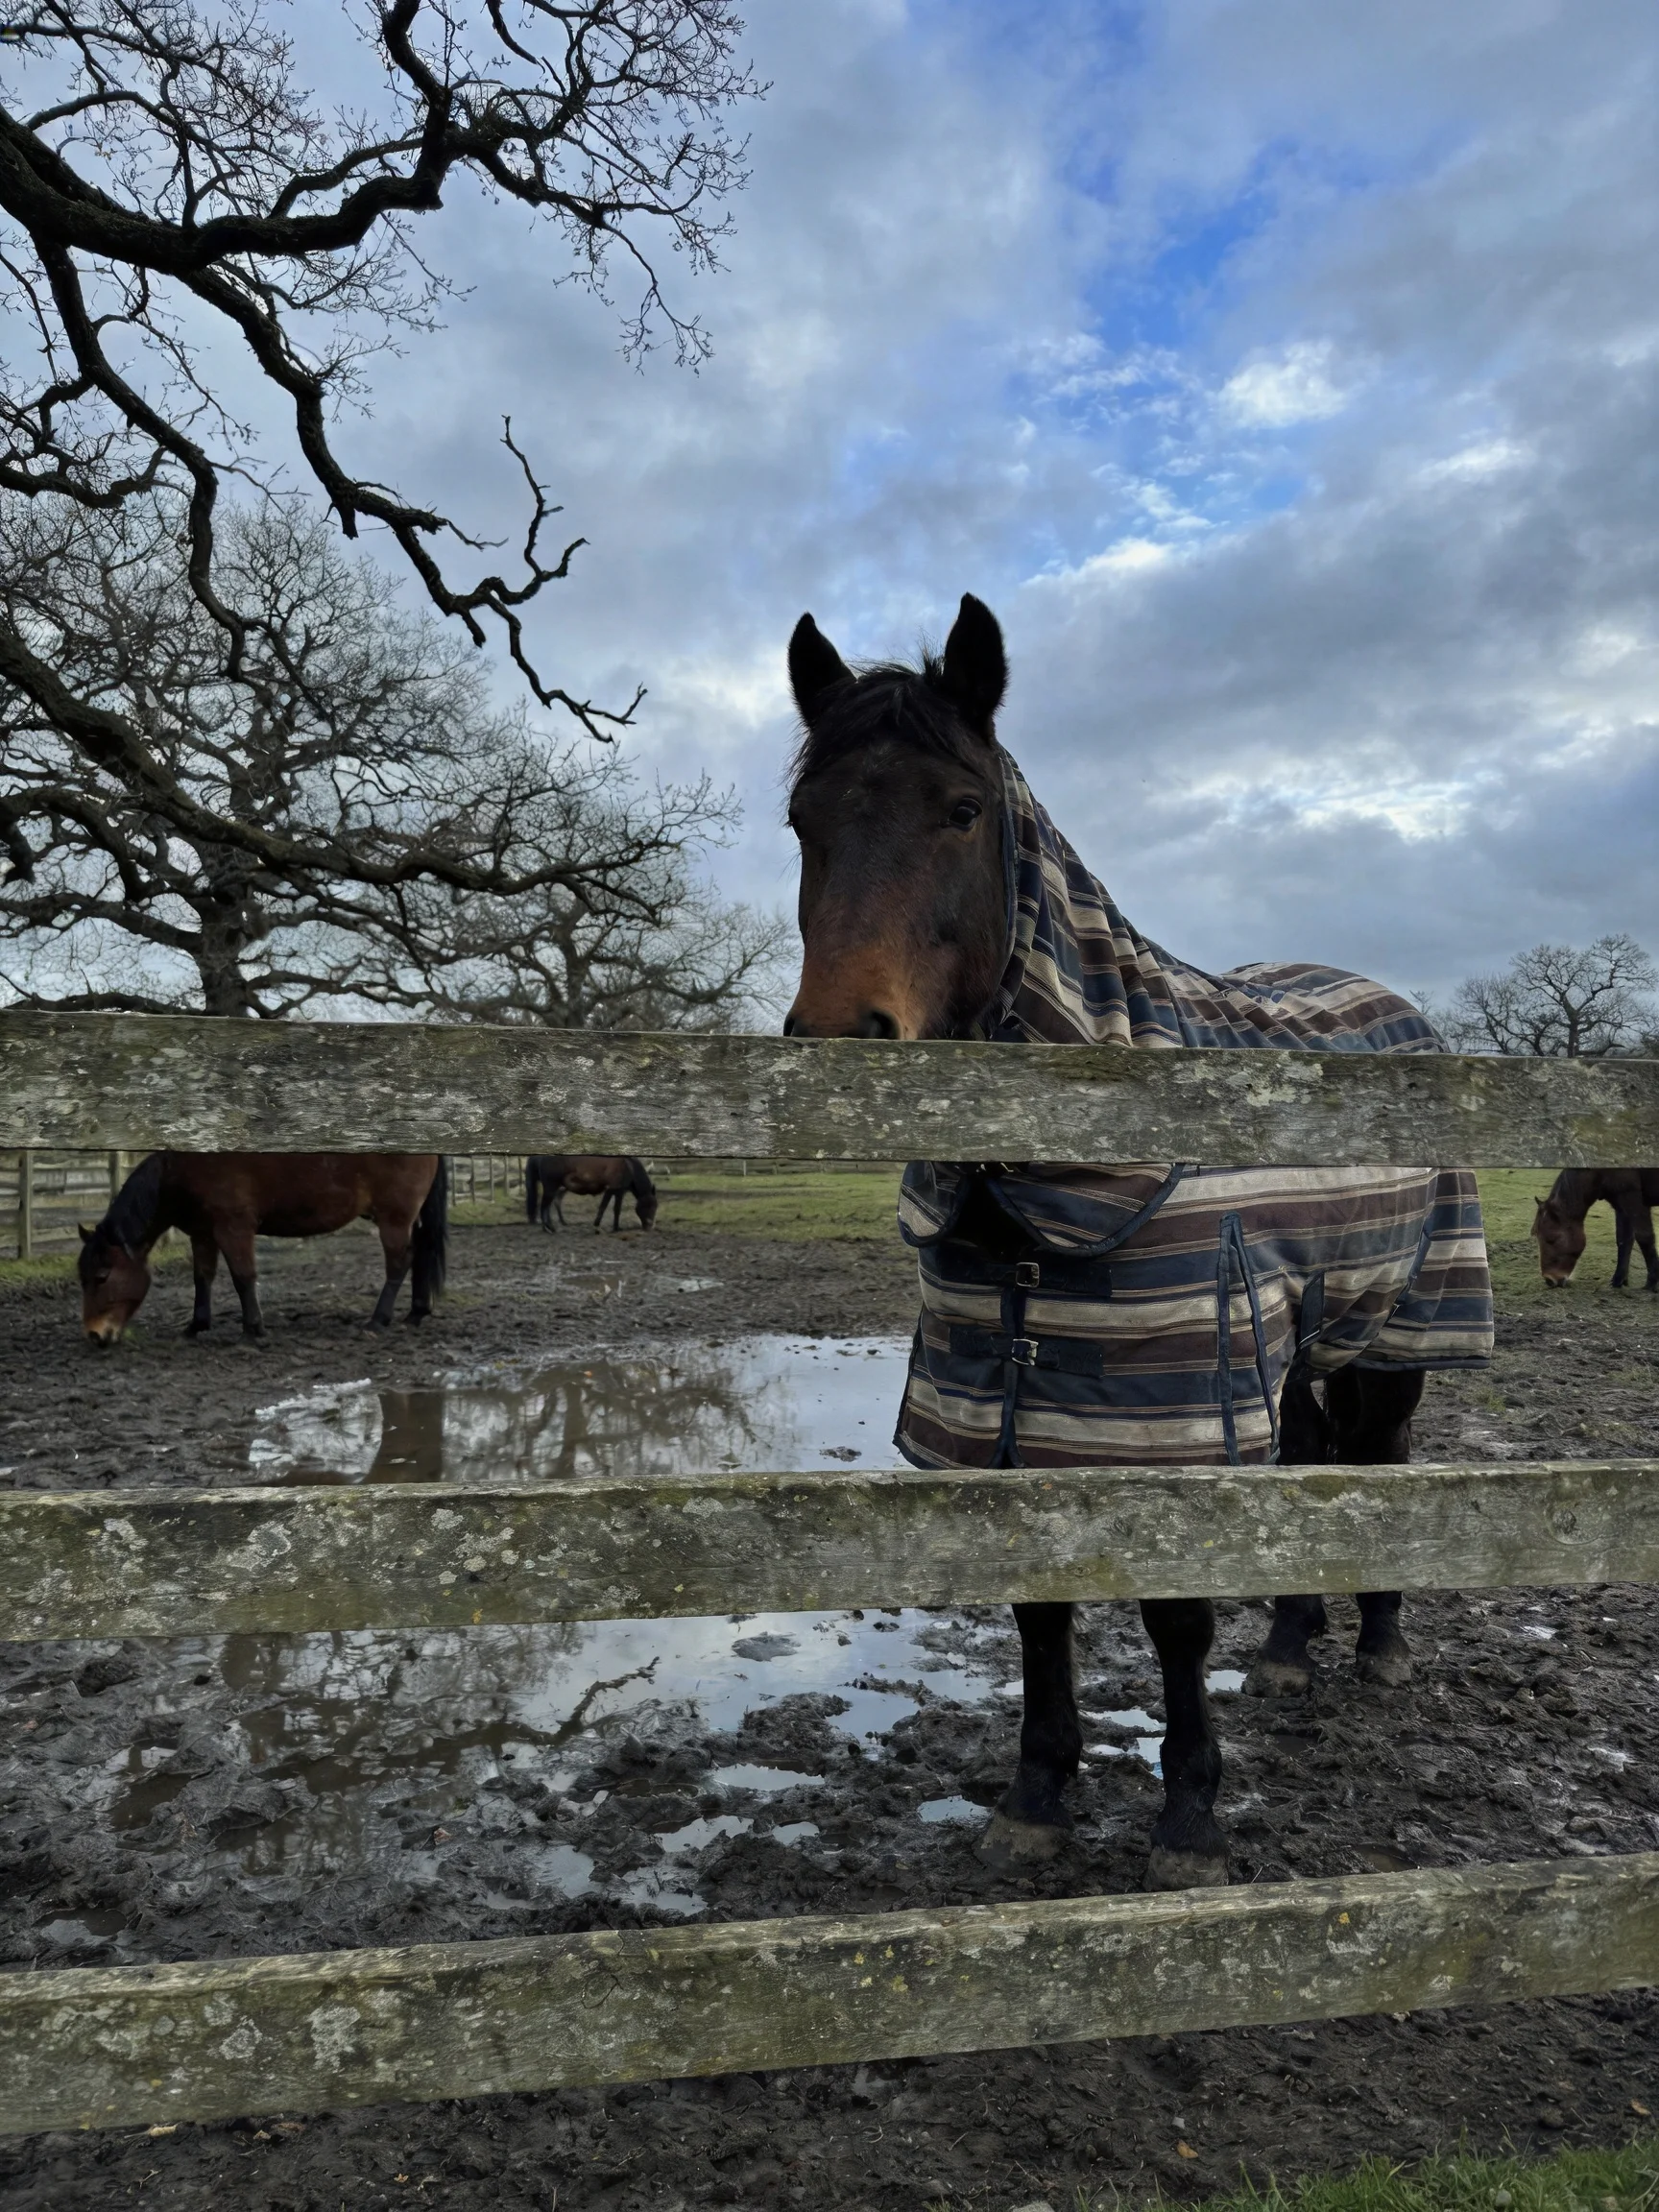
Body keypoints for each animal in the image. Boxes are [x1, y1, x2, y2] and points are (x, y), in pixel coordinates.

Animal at [78, 1153, 447, 1343]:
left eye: (102, 1276)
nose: (94, 1334)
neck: (183, 1169)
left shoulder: (234, 1229)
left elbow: (243, 1277)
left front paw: (253, 1328)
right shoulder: (203, 1234)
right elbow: (203, 1277)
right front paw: (197, 1324)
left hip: (393, 1218)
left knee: (400, 1262)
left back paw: (378, 1320)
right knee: (420, 1253)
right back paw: (416, 1312)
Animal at [525, 1154, 659, 1235]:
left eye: (655, 1207)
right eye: (648, 1206)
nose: (650, 1226)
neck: (628, 1166)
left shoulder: (617, 1192)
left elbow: (612, 1208)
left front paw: (609, 1226)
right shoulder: (612, 1190)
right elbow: (608, 1207)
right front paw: (604, 1226)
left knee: (550, 1205)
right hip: (551, 1188)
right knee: (544, 1206)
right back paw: (549, 1228)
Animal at [783, 592, 1493, 1890]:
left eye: (961, 810)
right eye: (804, 823)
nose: (842, 1043)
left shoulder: (1171, 1412)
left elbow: (1175, 1615)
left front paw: (1189, 1816)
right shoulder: (1022, 1408)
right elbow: (1039, 1607)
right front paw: (1037, 1796)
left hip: (1395, 1331)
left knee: (1379, 1461)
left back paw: (1377, 1644)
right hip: (1283, 1344)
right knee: (1311, 1462)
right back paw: (1289, 1649)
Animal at [1533, 1167, 1659, 1290]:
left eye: (1551, 1239)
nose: (1549, 1280)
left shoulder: (1633, 1200)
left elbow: (1644, 1238)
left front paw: (1652, 1282)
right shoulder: (1620, 1207)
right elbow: (1623, 1241)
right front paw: (1619, 1280)